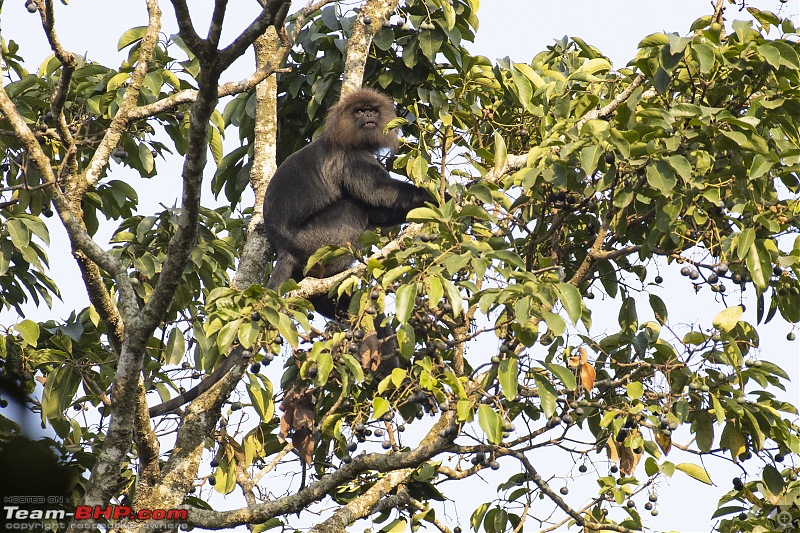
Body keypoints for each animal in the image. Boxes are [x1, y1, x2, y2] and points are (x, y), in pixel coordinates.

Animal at [266, 88, 434, 316]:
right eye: (360, 111)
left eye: (372, 110)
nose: (369, 115)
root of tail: (284, 249)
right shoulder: (352, 157)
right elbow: (378, 192)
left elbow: (378, 210)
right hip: (313, 241)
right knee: (353, 209)